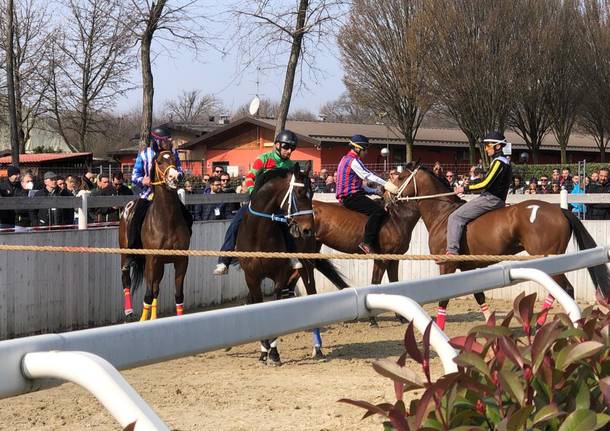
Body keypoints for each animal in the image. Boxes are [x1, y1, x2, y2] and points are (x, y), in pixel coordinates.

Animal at [120, 150, 191, 322]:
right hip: (126, 254)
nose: (176, 176)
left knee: (156, 288)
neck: (167, 220)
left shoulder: (181, 260)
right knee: (126, 280)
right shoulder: (152, 259)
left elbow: (178, 295)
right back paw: (129, 313)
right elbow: (147, 295)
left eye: (175, 160)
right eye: (159, 162)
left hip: (159, 265)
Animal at [236, 164, 346, 366]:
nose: (307, 229)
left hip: (306, 266)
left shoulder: (279, 274)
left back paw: (317, 348)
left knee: (311, 293)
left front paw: (273, 352)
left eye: (312, 192)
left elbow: (275, 303)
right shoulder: (251, 277)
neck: (258, 235)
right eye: (300, 192)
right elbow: (257, 304)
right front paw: (263, 351)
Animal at [390, 164, 608, 330]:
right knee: (557, 290)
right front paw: (492, 326)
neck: (443, 214)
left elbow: (444, 299)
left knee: (567, 289)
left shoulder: (448, 265)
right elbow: (479, 295)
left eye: (400, 177)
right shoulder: (469, 267)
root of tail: (560, 210)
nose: (387, 195)